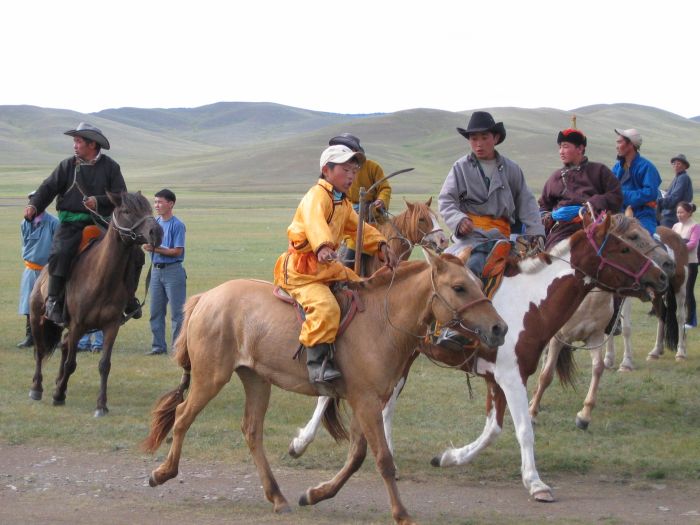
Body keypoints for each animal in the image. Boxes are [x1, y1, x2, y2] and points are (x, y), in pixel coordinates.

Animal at [29, 190, 163, 416]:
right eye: (127, 211)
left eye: (148, 208)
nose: (157, 232)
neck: (101, 278)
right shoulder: (77, 324)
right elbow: (71, 363)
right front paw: (58, 395)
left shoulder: (110, 326)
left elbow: (104, 365)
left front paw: (101, 405)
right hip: (38, 318)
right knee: (40, 350)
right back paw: (37, 388)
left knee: (63, 345)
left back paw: (58, 381)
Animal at [139, 249, 506, 524]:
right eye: (459, 287)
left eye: (477, 282)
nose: (499, 328)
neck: (382, 321)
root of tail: (205, 298)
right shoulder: (366, 402)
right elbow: (382, 459)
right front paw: (402, 514)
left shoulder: (366, 401)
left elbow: (357, 457)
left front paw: (315, 494)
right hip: (211, 376)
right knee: (183, 416)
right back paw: (163, 473)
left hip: (256, 379)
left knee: (251, 431)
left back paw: (278, 496)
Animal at [288, 212, 668, 500]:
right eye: (626, 244)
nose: (663, 274)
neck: (531, 302)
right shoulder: (511, 377)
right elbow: (523, 429)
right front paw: (536, 483)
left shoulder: (499, 377)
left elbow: (494, 429)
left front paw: (450, 457)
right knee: (330, 396)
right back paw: (300, 442)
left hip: (403, 360)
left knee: (385, 406)